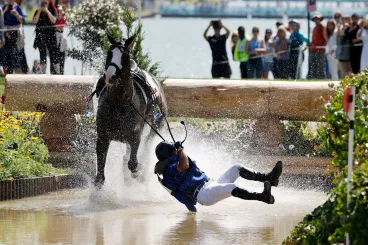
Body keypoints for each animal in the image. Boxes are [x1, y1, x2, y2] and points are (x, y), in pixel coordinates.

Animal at [93, 32, 168, 186]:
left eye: (124, 55)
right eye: (109, 53)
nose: (110, 75)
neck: (118, 104)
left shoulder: (135, 136)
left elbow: (133, 164)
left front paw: (138, 173)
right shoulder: (103, 137)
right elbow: (100, 175)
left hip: (157, 122)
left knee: (147, 143)